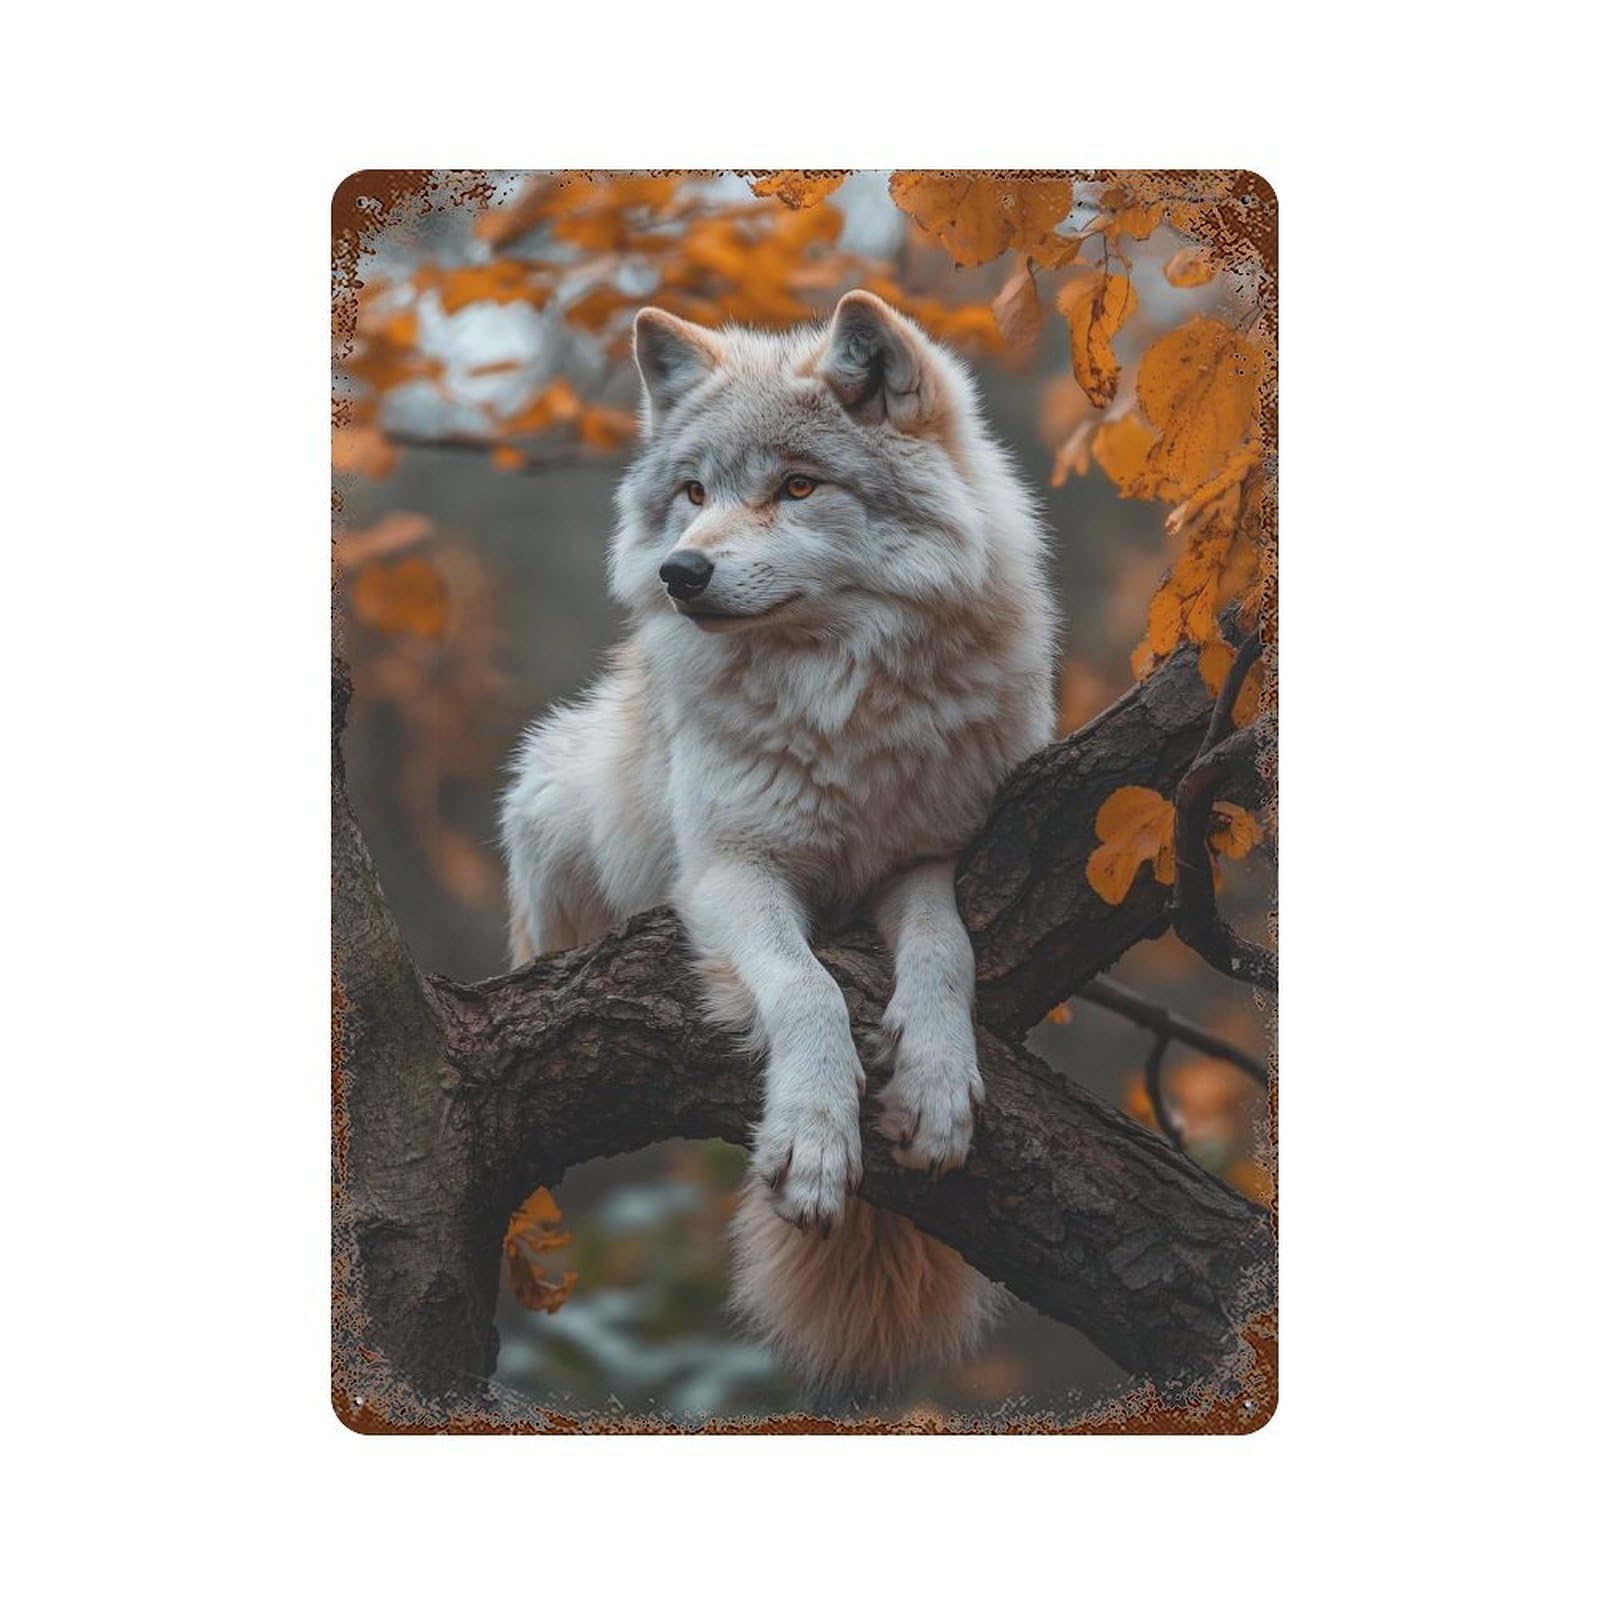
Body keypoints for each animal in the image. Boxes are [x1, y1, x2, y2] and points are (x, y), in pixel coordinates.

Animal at [499, 290, 1057, 1395]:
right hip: (552, 800)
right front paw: (813, 1140)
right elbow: (807, 988)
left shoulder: (928, 855)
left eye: (796, 486)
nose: (680, 570)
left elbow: (945, 955)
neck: (835, 701)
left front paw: (935, 1091)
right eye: (693, 491)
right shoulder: (729, 872)